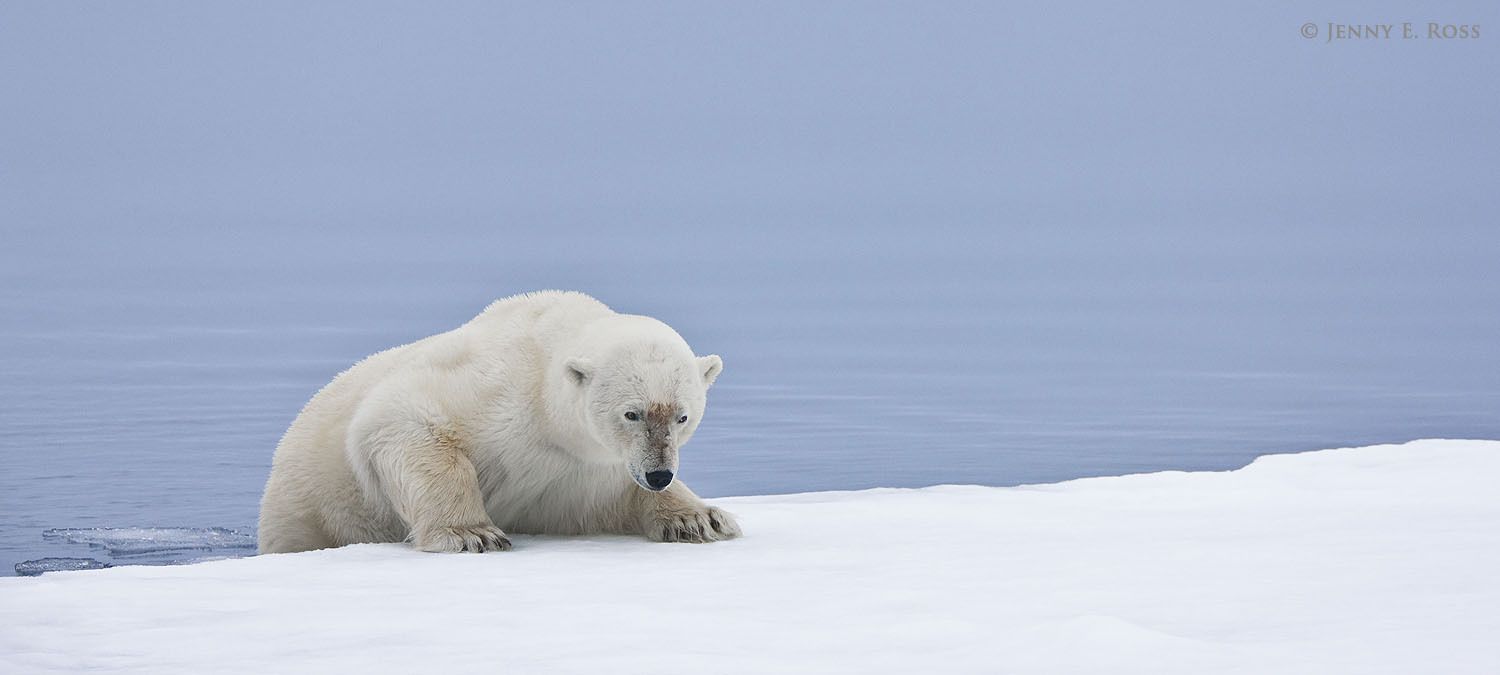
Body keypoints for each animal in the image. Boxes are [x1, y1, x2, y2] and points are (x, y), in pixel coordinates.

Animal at [257, 290, 739, 554]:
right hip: (310, 507)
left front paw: (699, 519)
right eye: (632, 413)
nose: (659, 474)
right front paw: (473, 534)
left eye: (682, 416)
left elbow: (615, 496)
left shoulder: (581, 476)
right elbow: (401, 420)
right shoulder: (494, 388)